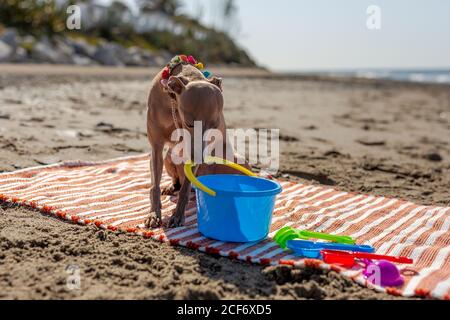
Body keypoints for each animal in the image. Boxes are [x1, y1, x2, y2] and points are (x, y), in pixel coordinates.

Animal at [146, 62, 246, 228]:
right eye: (189, 124)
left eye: (215, 126)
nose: (199, 159)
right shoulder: (156, 147)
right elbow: (155, 185)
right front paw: (154, 214)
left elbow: (185, 189)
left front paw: (178, 215)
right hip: (168, 157)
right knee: (177, 181)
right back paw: (171, 187)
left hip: (237, 160)